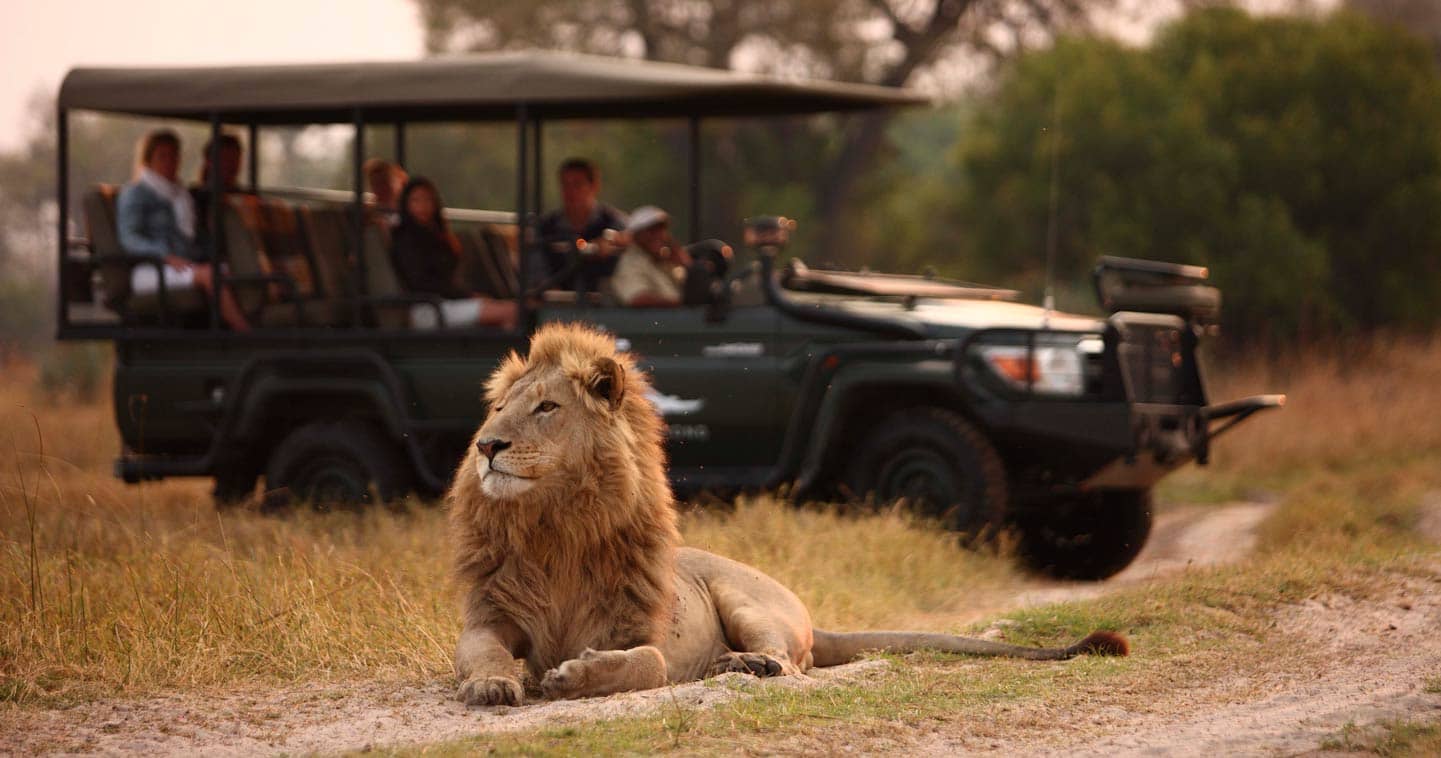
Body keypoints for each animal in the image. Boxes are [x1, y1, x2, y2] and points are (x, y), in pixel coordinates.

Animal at [446, 322, 1123, 706]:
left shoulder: (636, 631)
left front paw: (572, 677)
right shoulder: (490, 617)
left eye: (546, 408)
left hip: (746, 600)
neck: (554, 528)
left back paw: (743, 664)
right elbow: (482, 653)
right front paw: (492, 684)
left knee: (792, 664)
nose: (486, 446)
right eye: (499, 408)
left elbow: (647, 663)